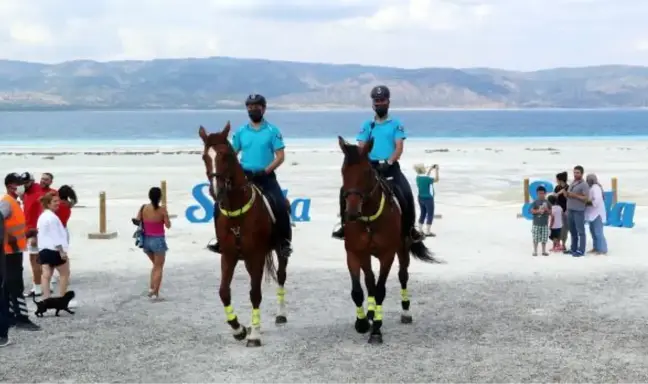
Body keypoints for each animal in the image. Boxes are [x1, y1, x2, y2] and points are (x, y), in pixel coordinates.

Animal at [197, 123, 288, 348]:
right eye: (204, 157)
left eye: (227, 155)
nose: (216, 190)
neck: (237, 214)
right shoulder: (228, 256)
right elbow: (224, 292)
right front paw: (239, 329)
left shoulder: (256, 256)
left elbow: (255, 294)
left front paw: (253, 335)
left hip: (279, 251)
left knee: (281, 277)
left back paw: (280, 315)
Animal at [340, 136, 440, 344]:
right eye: (343, 171)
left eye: (367, 171)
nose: (352, 212)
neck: (369, 220)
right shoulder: (354, 253)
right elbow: (358, 290)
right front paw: (362, 322)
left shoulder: (387, 255)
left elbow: (380, 290)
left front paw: (376, 330)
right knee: (369, 280)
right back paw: (370, 313)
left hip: (403, 249)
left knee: (403, 276)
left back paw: (405, 312)